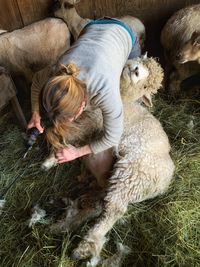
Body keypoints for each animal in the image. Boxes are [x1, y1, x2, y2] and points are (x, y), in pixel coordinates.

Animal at [43, 55, 173, 260]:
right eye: (139, 62)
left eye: (145, 86)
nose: (135, 70)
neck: (123, 98)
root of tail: (164, 184)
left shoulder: (93, 122)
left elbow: (71, 135)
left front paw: (51, 158)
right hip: (113, 182)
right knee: (97, 207)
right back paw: (63, 226)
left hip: (131, 176)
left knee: (113, 210)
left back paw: (85, 247)